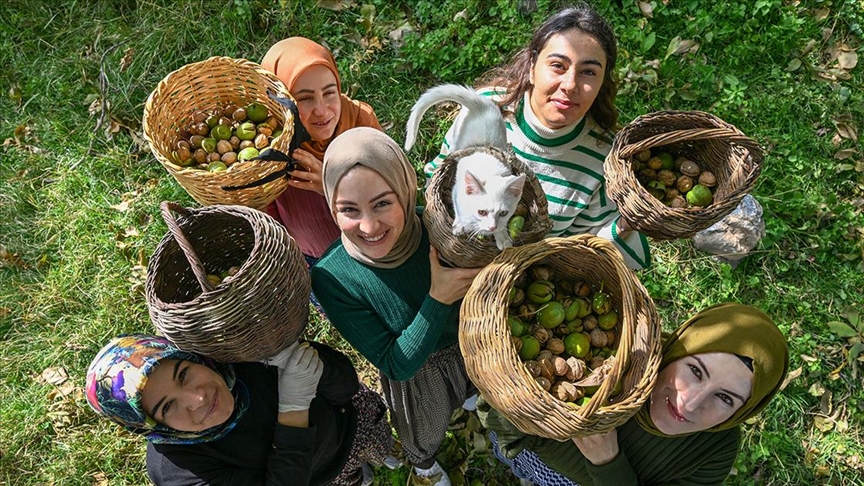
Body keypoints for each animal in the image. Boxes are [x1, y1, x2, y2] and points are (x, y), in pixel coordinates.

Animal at [406, 83, 528, 249]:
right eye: (482, 212)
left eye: (503, 213)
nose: (492, 227)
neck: (488, 171)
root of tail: (481, 103)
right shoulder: (456, 191)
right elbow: (458, 210)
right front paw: (459, 224)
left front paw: (502, 236)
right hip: (455, 139)